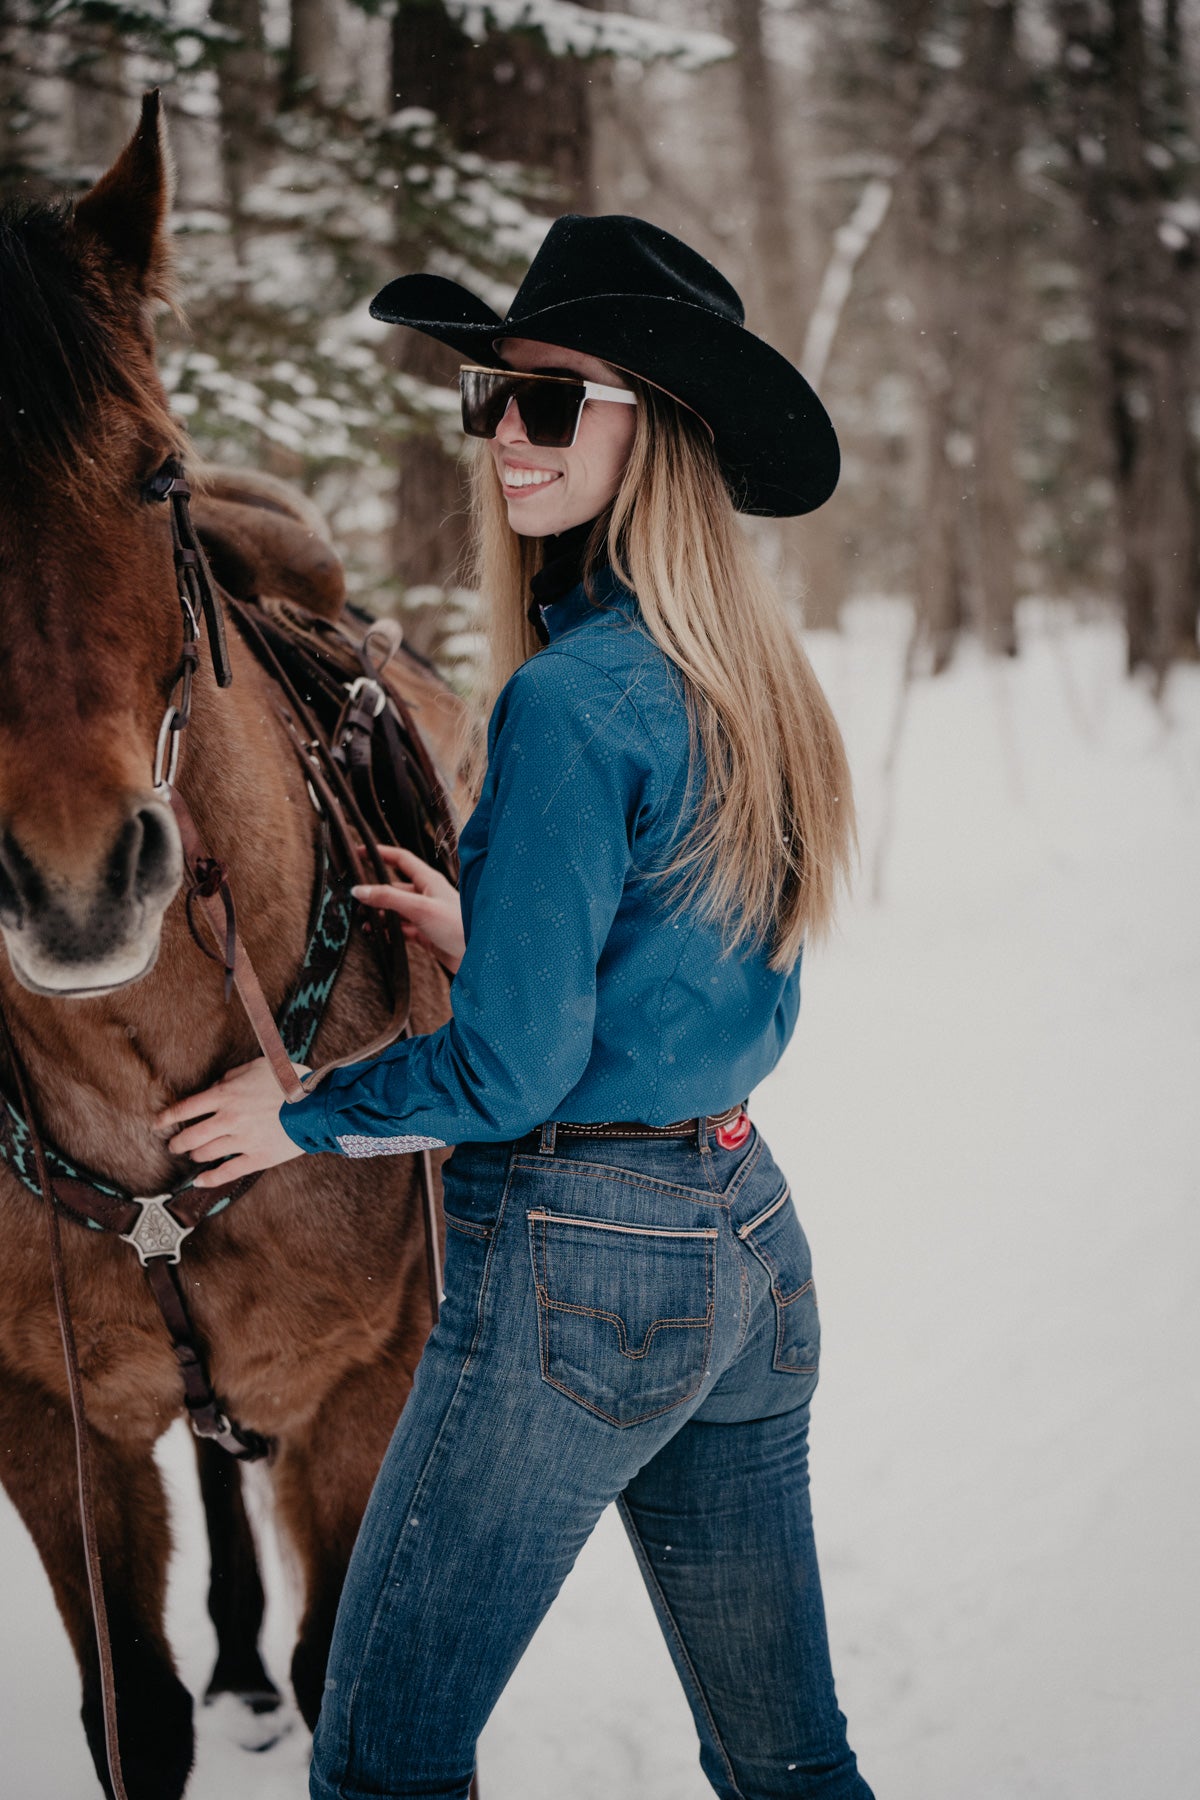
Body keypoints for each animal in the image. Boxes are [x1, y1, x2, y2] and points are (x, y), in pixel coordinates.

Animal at [0, 91, 464, 1792]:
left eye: (160, 478)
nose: (74, 878)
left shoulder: (366, 1396)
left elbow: (356, 1670)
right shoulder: (49, 1428)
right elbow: (132, 1709)